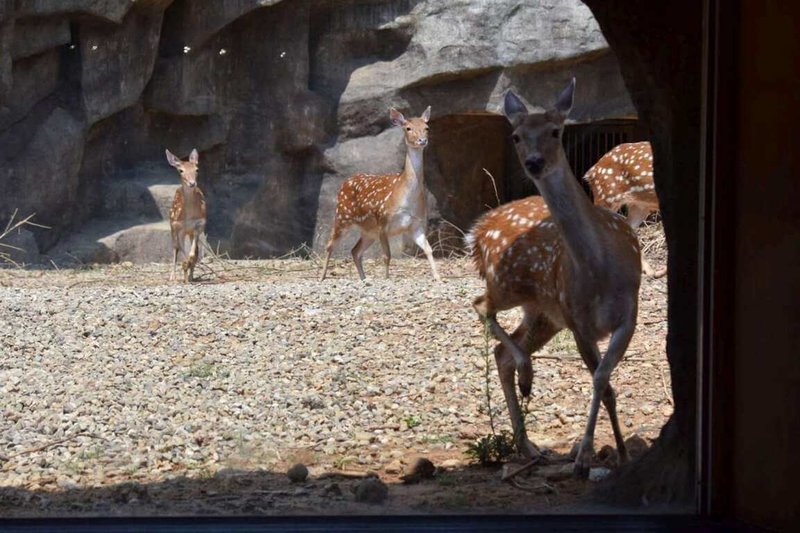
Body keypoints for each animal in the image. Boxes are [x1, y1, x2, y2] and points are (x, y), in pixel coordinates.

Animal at [166, 148, 206, 282]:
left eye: (197, 169)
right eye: (181, 170)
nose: (192, 183)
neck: (189, 216)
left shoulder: (199, 225)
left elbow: (193, 253)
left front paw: (189, 270)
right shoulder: (179, 227)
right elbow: (181, 250)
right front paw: (184, 267)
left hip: (189, 231)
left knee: (195, 250)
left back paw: (190, 275)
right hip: (173, 226)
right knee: (175, 248)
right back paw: (173, 276)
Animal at [320, 105, 444, 282]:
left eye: (427, 127)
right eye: (408, 128)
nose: (422, 140)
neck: (406, 198)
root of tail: (345, 182)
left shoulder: (416, 224)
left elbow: (428, 249)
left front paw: (438, 277)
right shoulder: (383, 222)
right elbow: (387, 256)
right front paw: (386, 278)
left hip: (368, 231)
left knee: (355, 250)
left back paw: (363, 278)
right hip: (342, 216)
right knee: (330, 245)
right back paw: (321, 277)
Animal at [468, 79, 644, 478]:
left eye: (555, 131)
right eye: (516, 136)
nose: (534, 162)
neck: (599, 269)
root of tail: (479, 232)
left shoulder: (629, 314)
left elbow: (603, 380)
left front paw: (621, 453)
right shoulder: (577, 320)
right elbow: (603, 384)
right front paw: (585, 456)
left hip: (544, 313)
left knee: (502, 351)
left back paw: (527, 443)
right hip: (508, 283)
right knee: (481, 306)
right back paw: (526, 381)